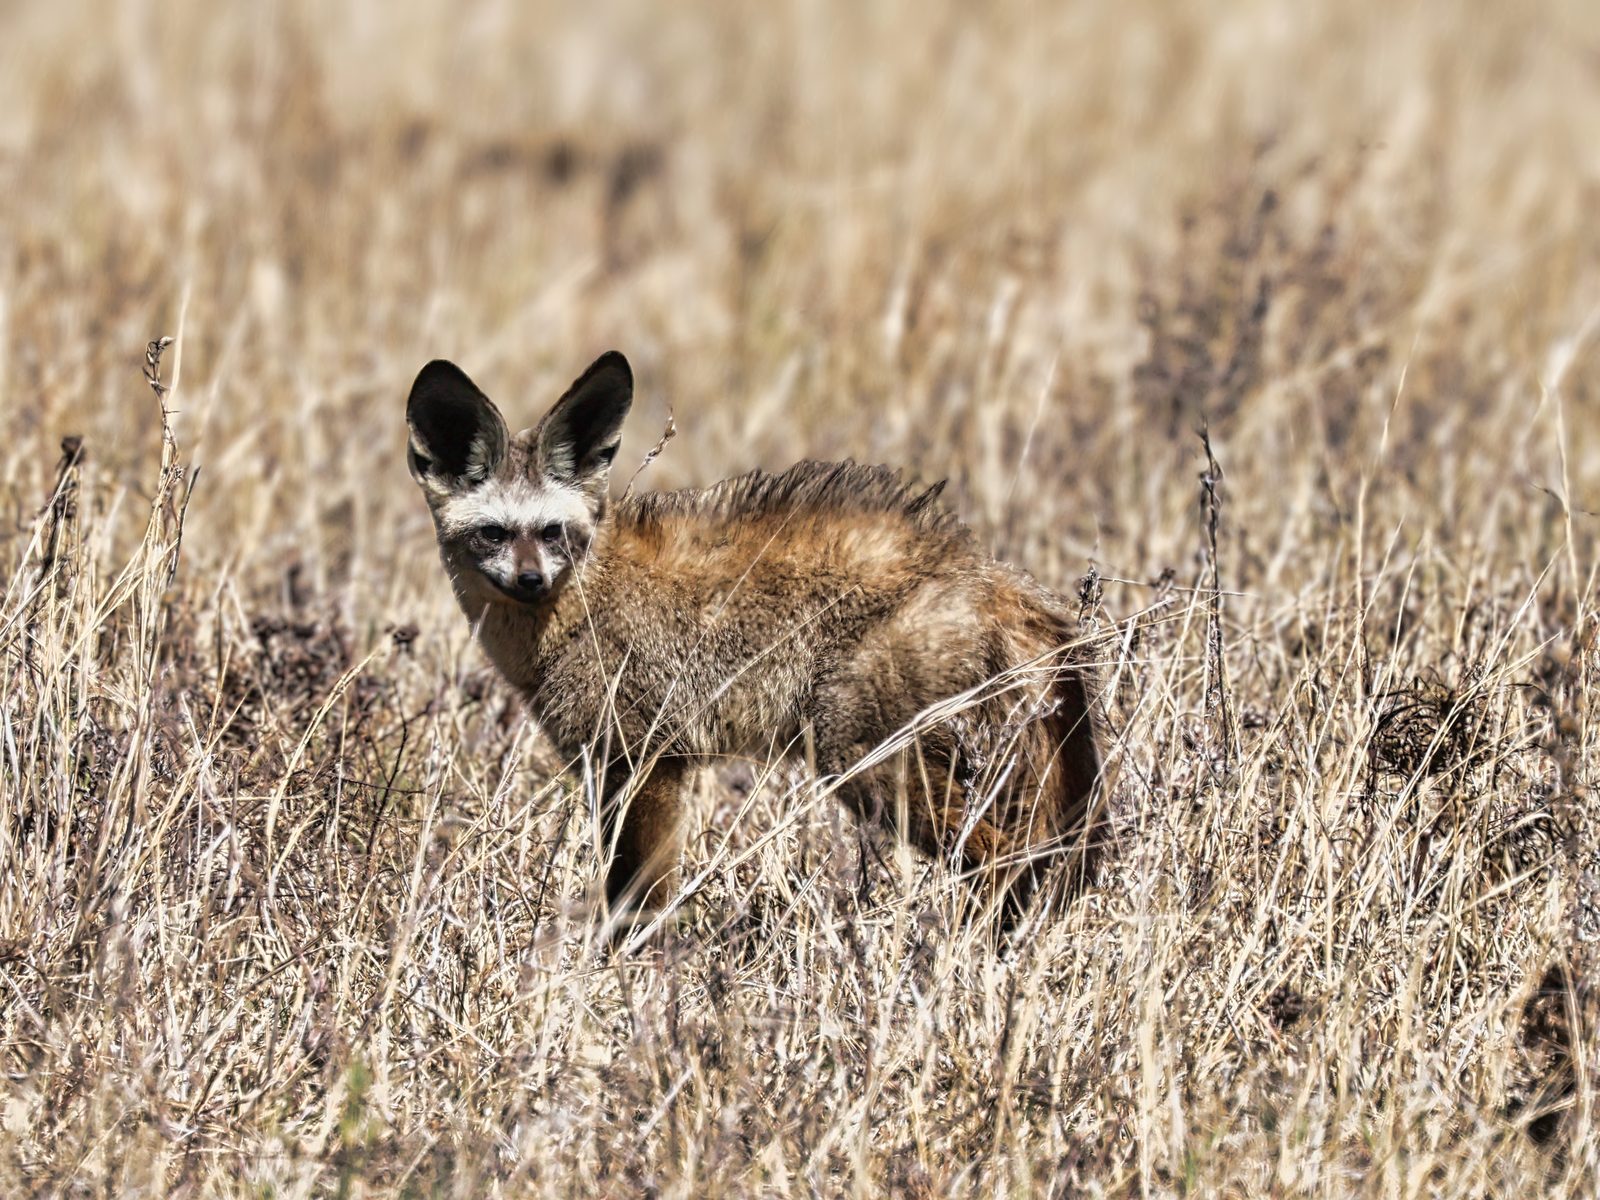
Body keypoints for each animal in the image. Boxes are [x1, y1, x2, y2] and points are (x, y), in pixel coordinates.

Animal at [406, 350, 1104, 926]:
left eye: (552, 533)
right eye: (494, 534)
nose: (530, 580)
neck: (583, 603)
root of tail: (987, 570)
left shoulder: (647, 762)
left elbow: (638, 904)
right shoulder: (621, 767)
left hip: (865, 761)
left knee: (1005, 857)